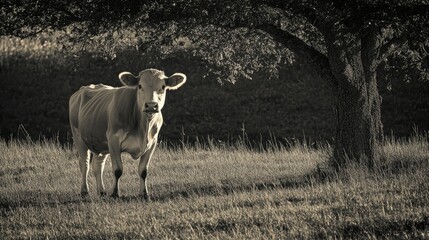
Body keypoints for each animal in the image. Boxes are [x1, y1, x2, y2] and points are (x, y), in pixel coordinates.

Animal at [69, 68, 186, 200]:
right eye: (139, 86)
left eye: (163, 86)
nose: (151, 105)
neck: (143, 128)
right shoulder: (113, 140)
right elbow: (118, 170)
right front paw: (115, 193)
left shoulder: (152, 143)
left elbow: (143, 171)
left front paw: (144, 193)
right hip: (78, 137)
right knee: (84, 163)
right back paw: (84, 191)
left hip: (101, 142)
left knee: (98, 165)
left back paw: (102, 191)